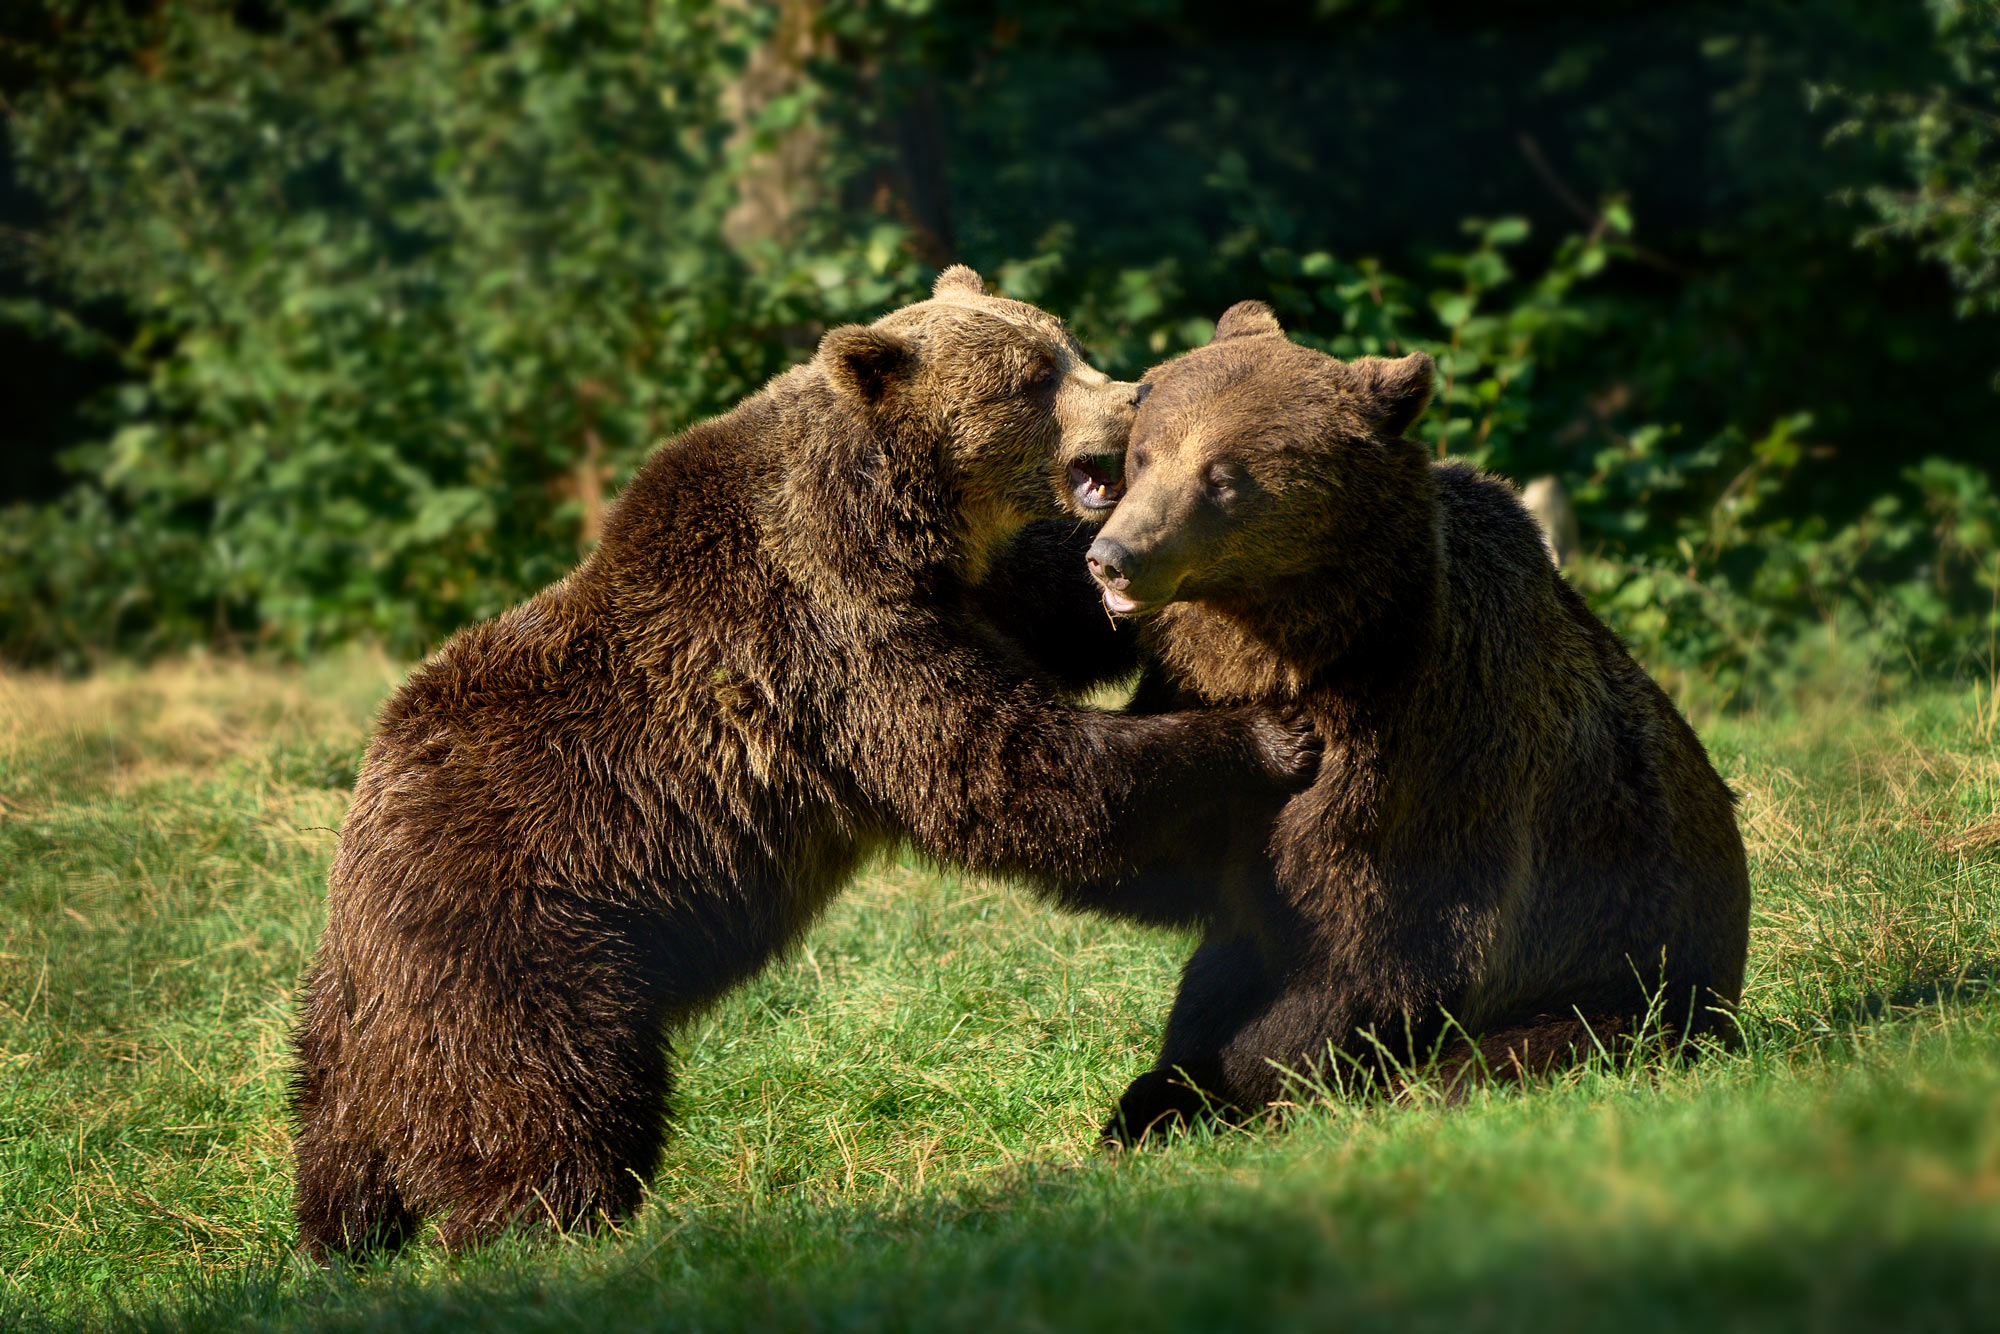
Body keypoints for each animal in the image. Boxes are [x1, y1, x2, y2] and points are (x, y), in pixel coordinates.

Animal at [290, 266, 1304, 1256]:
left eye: (1067, 344)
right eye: (1031, 378)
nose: (1134, 398)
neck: (886, 523)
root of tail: (354, 884)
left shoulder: (961, 595)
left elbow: (1051, 612)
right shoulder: (826, 640)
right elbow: (1000, 768)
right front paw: (1265, 734)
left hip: (353, 1022)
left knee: (336, 1129)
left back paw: (341, 1227)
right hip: (524, 941)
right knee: (553, 1103)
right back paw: (548, 1234)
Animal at [1080, 306, 1752, 1152]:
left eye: (1223, 476)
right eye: (1143, 453)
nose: (1114, 557)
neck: (1302, 651)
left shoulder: (1415, 739)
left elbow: (1372, 943)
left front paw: (1253, 1088)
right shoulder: (1194, 691)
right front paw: (1162, 1096)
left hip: (1622, 975)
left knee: (1518, 1051)